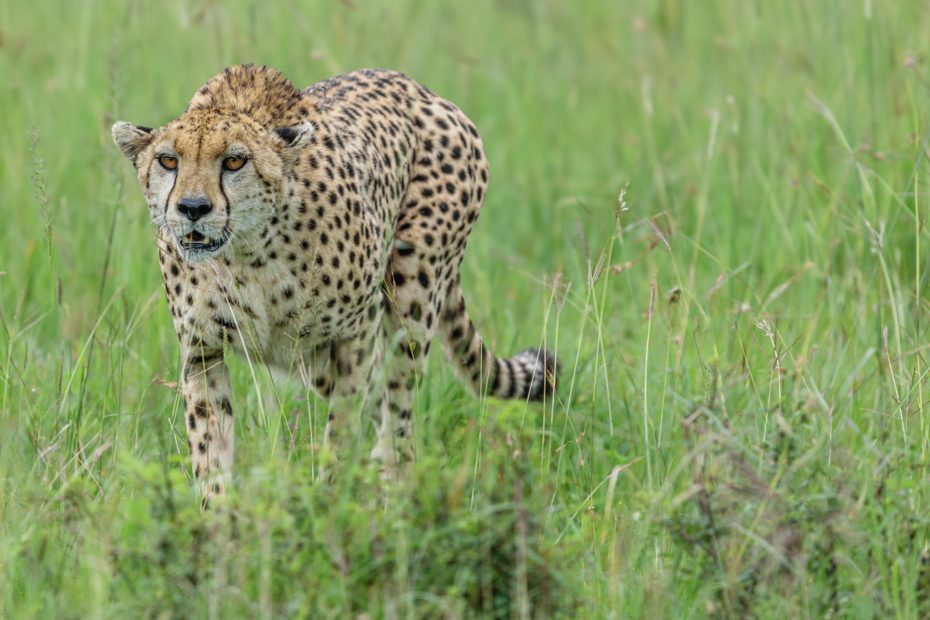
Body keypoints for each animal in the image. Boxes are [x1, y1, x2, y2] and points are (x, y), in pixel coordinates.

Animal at [112, 64, 558, 503]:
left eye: (235, 162)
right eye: (168, 161)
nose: (192, 208)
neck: (248, 251)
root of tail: (421, 89)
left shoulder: (354, 336)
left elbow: (342, 425)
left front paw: (330, 498)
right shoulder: (203, 351)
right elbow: (209, 443)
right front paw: (216, 512)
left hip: (412, 292)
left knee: (398, 406)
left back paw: (394, 488)